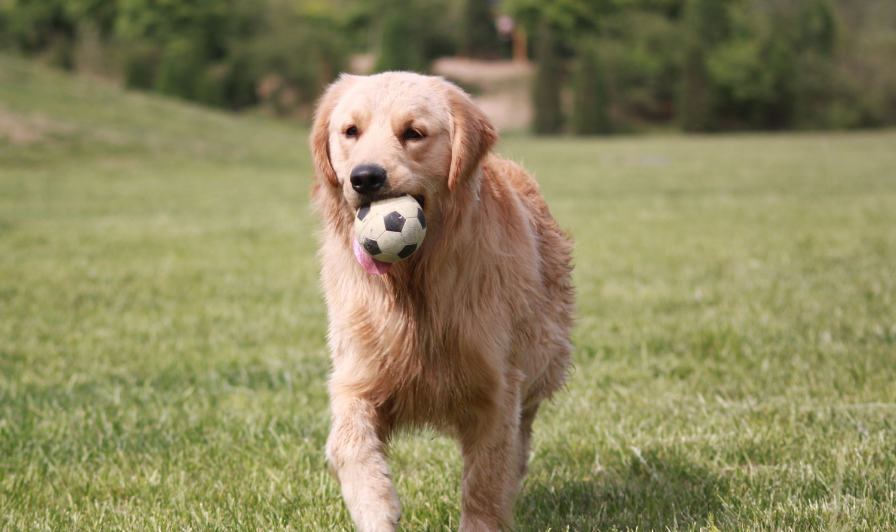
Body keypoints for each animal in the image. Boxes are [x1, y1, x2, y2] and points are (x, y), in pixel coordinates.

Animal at [308, 71, 576, 532]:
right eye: (350, 131)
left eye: (413, 133)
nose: (364, 177)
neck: (414, 287)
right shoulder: (357, 374)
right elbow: (348, 443)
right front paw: (375, 506)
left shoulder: (497, 388)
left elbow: (486, 480)